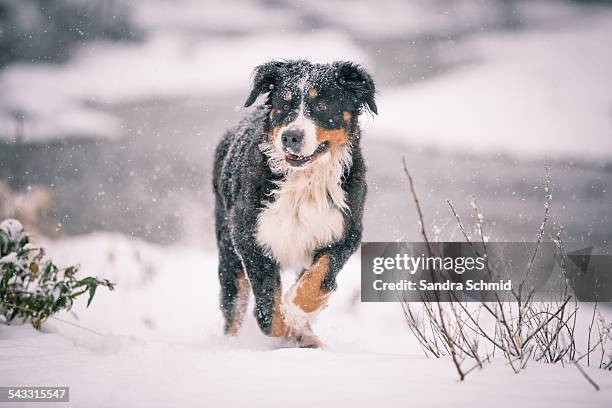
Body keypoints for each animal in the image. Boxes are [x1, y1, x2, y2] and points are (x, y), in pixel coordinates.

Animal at [214, 59, 378, 348]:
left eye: (321, 106)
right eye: (284, 104)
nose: (290, 137)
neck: (305, 182)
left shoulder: (345, 230)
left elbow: (319, 278)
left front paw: (297, 313)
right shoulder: (249, 237)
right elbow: (269, 308)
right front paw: (286, 324)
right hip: (228, 253)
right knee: (233, 307)